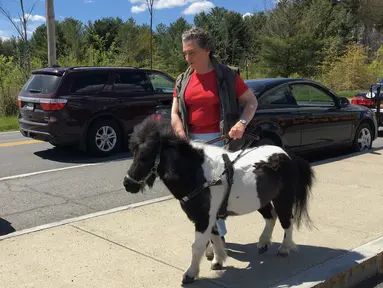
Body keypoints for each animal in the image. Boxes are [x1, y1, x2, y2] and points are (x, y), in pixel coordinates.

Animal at [123, 116, 316, 284]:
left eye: (146, 155)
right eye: (133, 152)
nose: (127, 184)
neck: (199, 176)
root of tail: (288, 155)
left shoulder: (203, 218)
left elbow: (197, 246)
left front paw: (190, 274)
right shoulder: (211, 217)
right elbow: (215, 238)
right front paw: (218, 260)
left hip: (283, 198)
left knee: (286, 220)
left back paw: (284, 248)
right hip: (261, 200)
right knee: (271, 217)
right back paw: (263, 243)